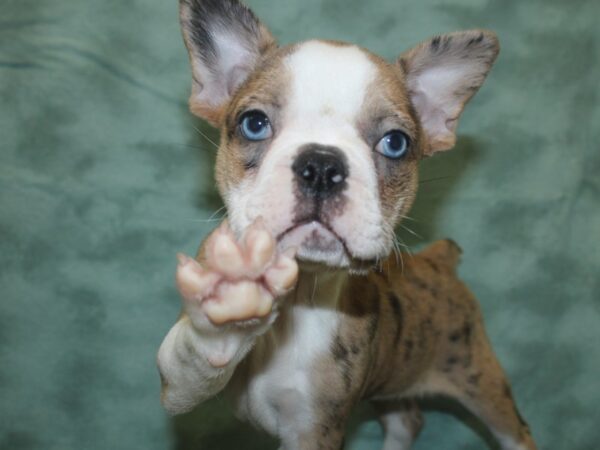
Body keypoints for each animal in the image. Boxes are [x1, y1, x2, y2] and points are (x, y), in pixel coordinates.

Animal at [157, 1, 536, 448]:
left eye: (395, 143)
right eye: (254, 123)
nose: (321, 165)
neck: (301, 290)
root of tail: (440, 260)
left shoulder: (313, 432)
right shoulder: (177, 386)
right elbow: (189, 358)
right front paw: (232, 300)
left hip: (480, 379)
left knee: (513, 431)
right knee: (406, 418)